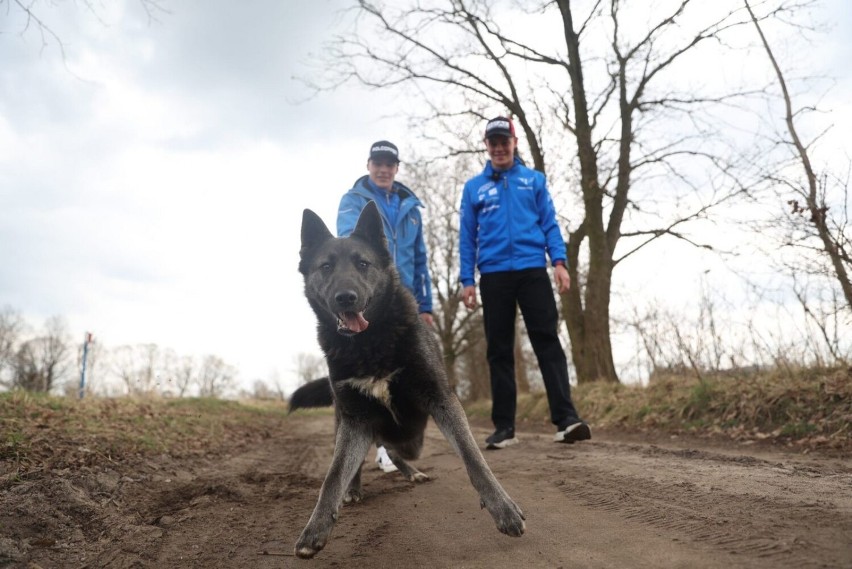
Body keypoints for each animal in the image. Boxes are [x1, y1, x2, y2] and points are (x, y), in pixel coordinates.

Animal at [292, 202, 524, 556]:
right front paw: (315, 528)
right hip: (348, 421)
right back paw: (355, 488)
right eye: (326, 266)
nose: (346, 297)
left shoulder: (442, 401)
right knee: (366, 455)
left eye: (363, 264)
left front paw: (503, 508)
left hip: (410, 435)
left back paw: (411, 472)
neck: (370, 344)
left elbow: (473, 457)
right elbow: (334, 475)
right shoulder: (355, 419)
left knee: (394, 448)